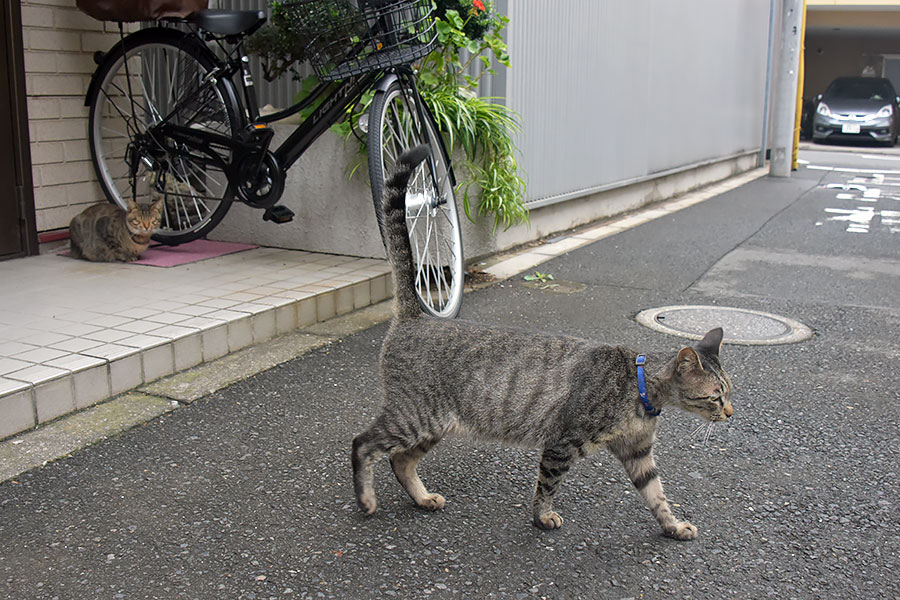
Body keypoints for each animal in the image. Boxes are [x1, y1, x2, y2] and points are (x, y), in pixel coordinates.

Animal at [352, 145, 732, 540]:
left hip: (432, 425)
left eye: (729, 392)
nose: (730, 413)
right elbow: (547, 486)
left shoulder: (638, 454)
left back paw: (423, 498)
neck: (639, 387)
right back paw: (366, 500)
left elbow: (657, 495)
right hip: (413, 416)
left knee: (400, 460)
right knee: (362, 444)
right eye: (716, 396)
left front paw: (673, 525)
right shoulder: (562, 445)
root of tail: (416, 315)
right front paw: (543, 517)